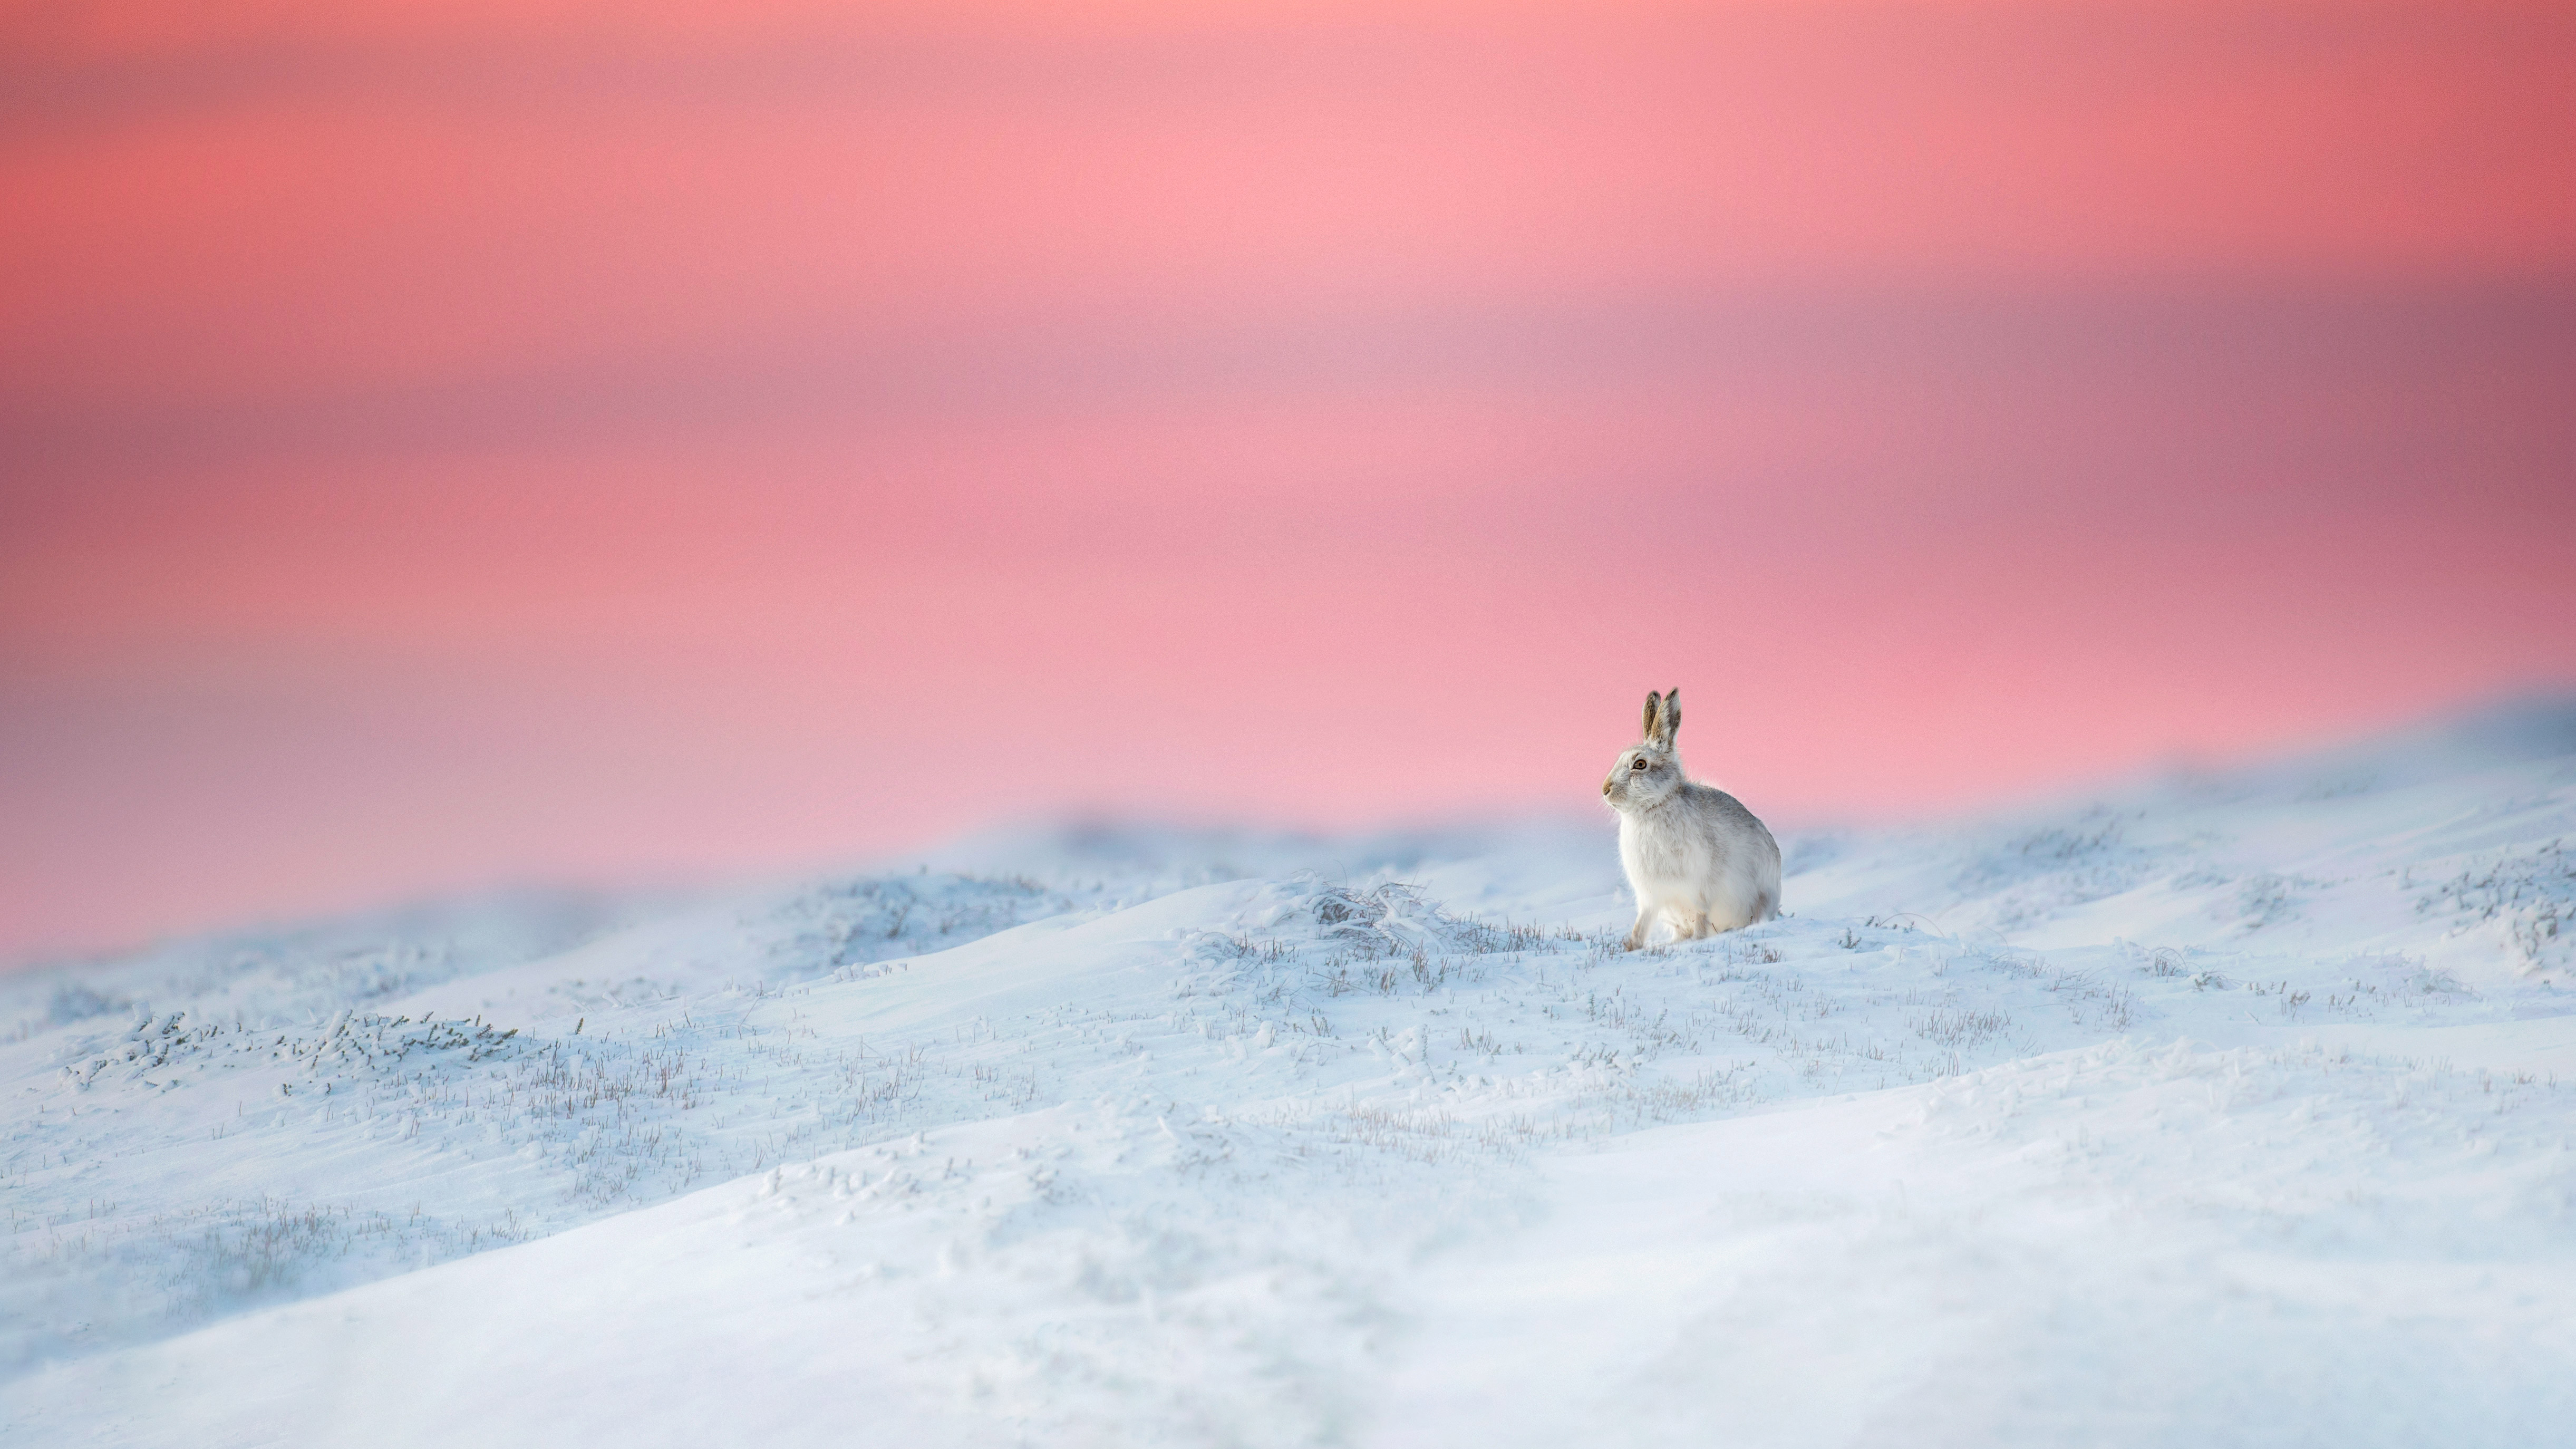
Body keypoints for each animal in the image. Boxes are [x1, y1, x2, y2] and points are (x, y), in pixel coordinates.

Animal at [1601, 688, 1781, 949]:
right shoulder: (1651, 898)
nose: (1605, 790)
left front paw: (1698, 941)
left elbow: (1701, 918)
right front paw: (1631, 947)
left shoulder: (1700, 891)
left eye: (1640, 764)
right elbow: (1641, 925)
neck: (1654, 807)